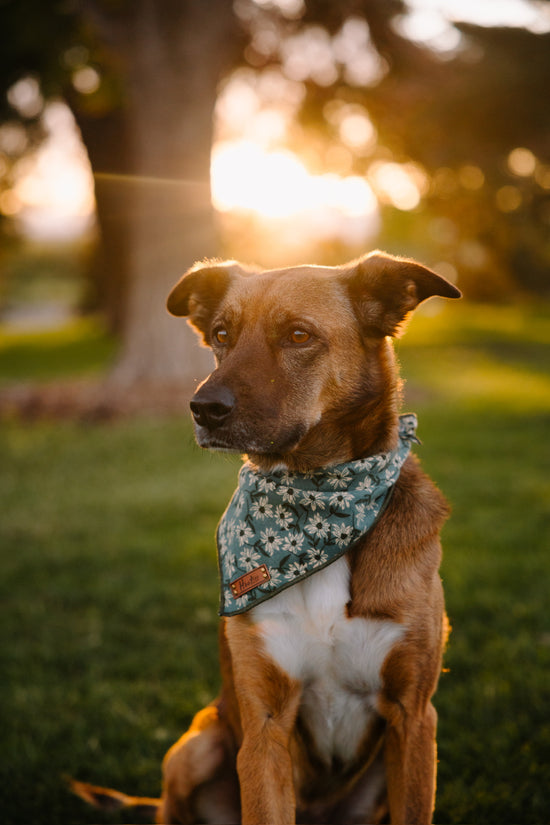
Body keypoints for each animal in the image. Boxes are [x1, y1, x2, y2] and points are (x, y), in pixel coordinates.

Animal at [72, 248, 462, 820]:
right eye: (220, 334)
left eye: (299, 335)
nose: (203, 408)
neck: (314, 501)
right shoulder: (264, 726)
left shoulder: (413, 718)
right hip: (195, 746)